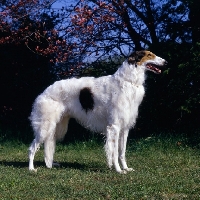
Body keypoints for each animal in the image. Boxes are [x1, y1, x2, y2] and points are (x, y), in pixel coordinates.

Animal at [28, 50, 167, 173]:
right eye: (150, 55)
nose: (166, 62)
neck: (128, 81)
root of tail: (44, 92)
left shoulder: (125, 127)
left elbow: (122, 152)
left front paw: (126, 168)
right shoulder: (114, 127)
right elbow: (114, 152)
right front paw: (118, 170)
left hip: (57, 128)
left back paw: (51, 164)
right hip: (45, 126)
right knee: (32, 148)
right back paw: (31, 168)